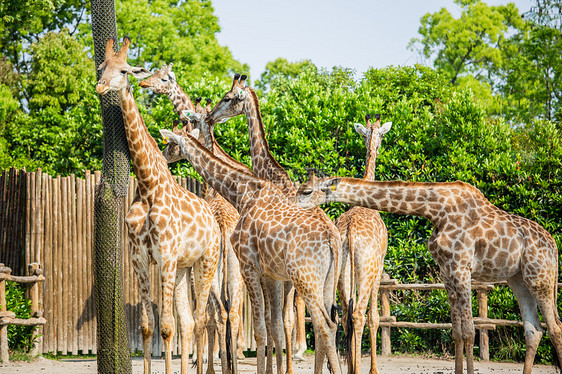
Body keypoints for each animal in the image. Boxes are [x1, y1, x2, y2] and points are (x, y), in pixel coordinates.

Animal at [94, 37, 221, 374]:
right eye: (102, 67)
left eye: (124, 70)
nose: (100, 86)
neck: (148, 185)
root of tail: (216, 224)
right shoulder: (139, 257)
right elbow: (148, 326)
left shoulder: (164, 256)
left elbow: (166, 327)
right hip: (183, 268)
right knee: (188, 322)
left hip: (206, 262)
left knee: (201, 320)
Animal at [158, 125, 342, 374]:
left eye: (169, 142)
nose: (162, 155)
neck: (242, 194)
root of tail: (332, 239)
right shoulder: (271, 275)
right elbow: (273, 325)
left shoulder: (248, 265)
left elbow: (259, 328)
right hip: (327, 282)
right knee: (331, 323)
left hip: (304, 279)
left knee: (324, 325)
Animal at [296, 175, 556, 374]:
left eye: (306, 191)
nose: (293, 206)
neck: (436, 209)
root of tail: (553, 247)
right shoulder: (448, 271)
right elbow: (457, 331)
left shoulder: (461, 268)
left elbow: (469, 331)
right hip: (519, 280)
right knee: (535, 330)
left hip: (540, 278)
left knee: (554, 327)